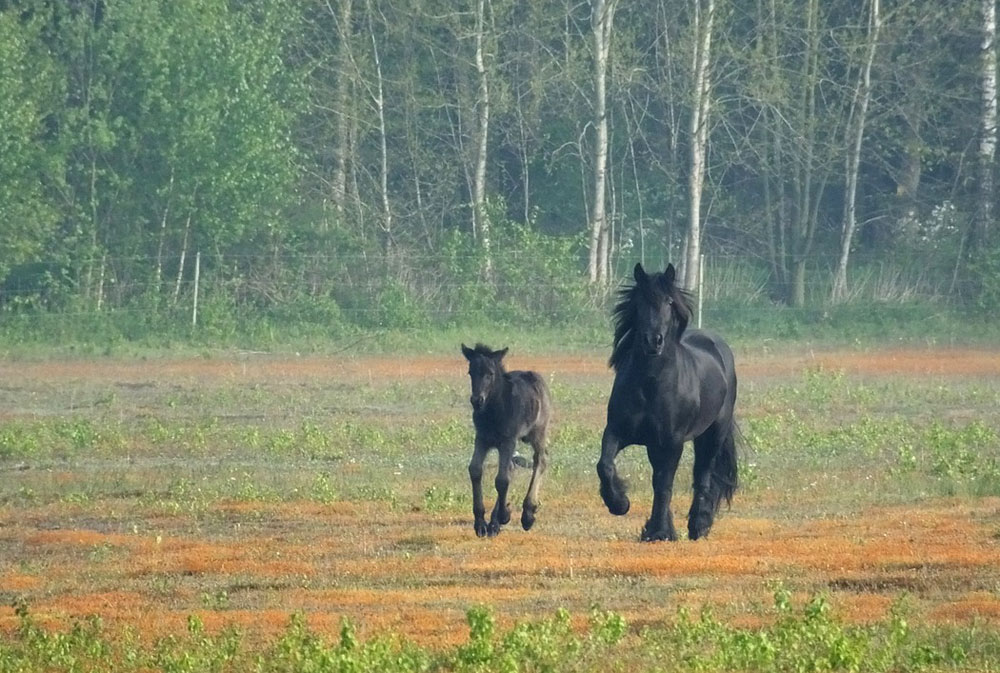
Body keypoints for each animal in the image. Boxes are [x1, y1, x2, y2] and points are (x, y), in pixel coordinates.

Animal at [462, 344, 556, 540]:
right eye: (470, 372)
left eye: (490, 373)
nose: (476, 400)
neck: (494, 410)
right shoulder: (482, 439)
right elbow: (475, 470)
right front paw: (481, 523)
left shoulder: (508, 440)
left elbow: (502, 479)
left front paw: (504, 516)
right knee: (513, 466)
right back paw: (494, 523)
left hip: (538, 432)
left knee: (540, 460)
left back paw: (527, 514)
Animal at [596, 262, 740, 540]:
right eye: (641, 301)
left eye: (669, 302)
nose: (654, 341)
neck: (650, 384)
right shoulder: (618, 431)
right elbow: (605, 465)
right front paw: (620, 503)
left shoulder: (671, 442)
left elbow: (664, 484)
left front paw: (660, 531)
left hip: (712, 435)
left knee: (703, 476)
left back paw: (698, 525)